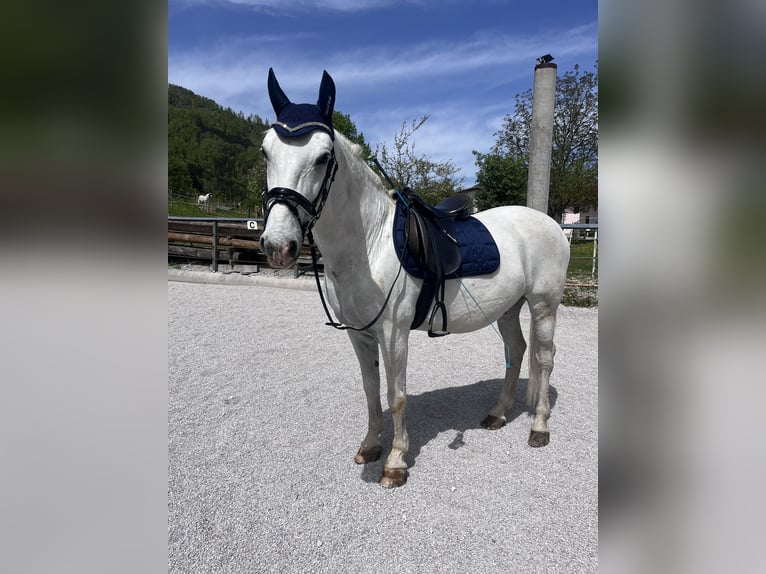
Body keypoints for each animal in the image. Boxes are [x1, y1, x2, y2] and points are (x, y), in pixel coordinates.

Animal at [260, 70, 572, 488]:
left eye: (323, 157)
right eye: (265, 151)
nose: (278, 245)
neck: (370, 242)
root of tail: (549, 222)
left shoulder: (393, 334)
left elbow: (396, 396)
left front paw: (395, 461)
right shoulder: (360, 335)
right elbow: (371, 391)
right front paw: (370, 446)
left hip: (543, 306)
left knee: (544, 358)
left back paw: (538, 427)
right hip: (508, 308)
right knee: (517, 351)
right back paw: (498, 414)